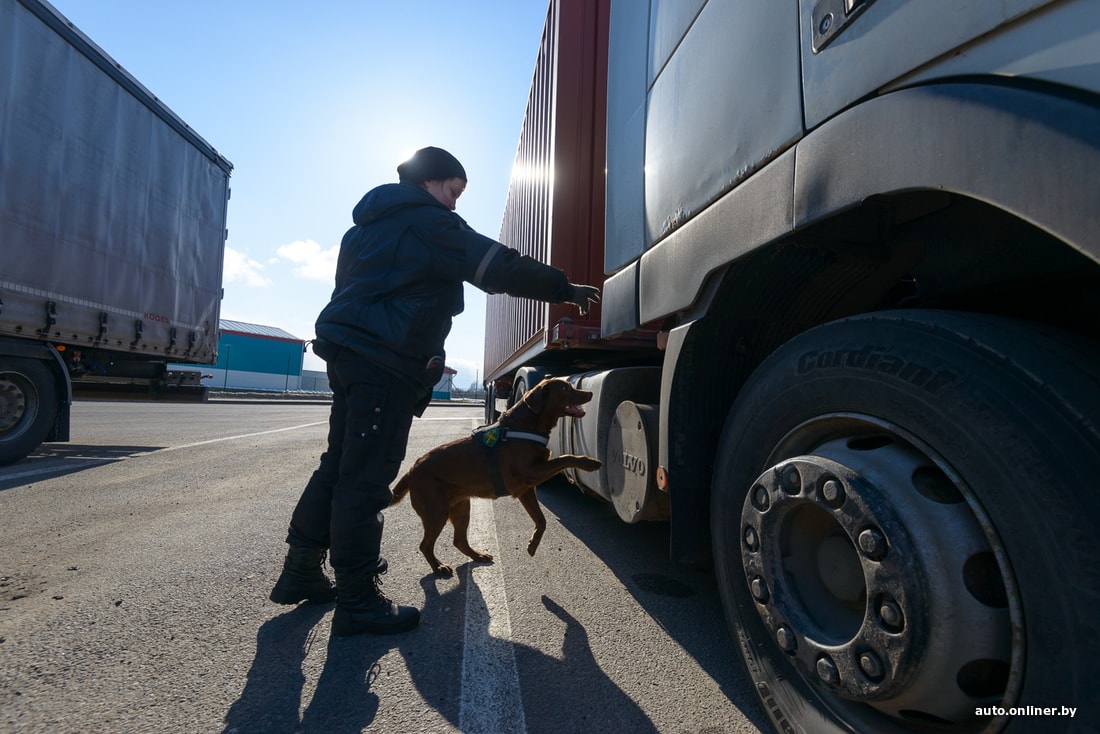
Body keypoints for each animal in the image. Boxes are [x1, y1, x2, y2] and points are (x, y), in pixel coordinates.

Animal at [391, 382, 602, 576]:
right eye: (565, 388)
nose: (590, 393)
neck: (527, 424)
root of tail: (411, 470)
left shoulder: (526, 490)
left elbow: (541, 521)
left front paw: (533, 545)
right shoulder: (531, 473)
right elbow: (565, 457)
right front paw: (589, 463)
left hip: (460, 507)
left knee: (459, 540)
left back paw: (478, 556)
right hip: (436, 511)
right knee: (425, 545)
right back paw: (438, 567)